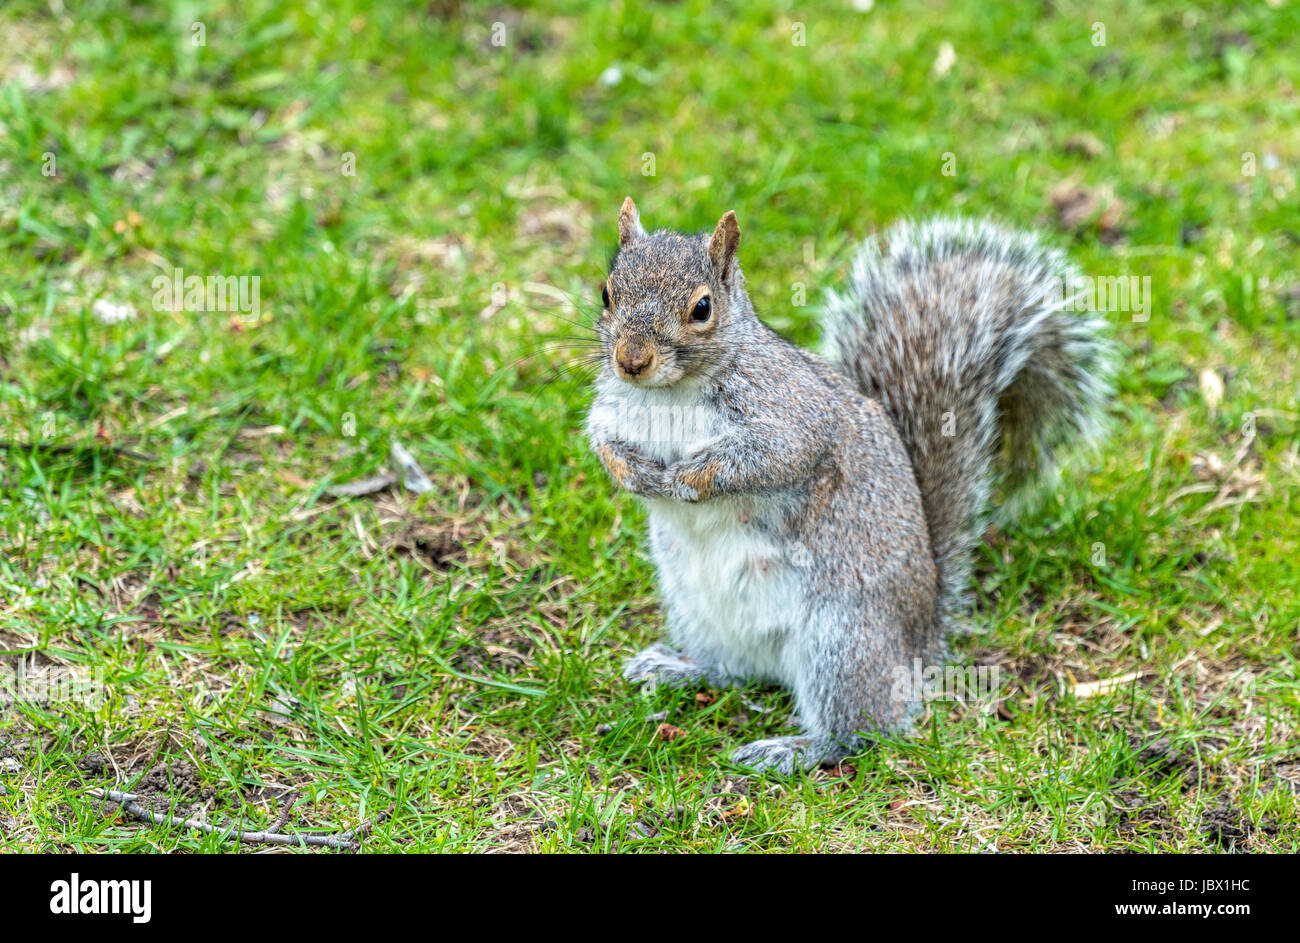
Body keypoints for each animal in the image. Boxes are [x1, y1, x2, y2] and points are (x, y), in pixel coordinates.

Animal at [586, 197, 1112, 774]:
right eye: (607, 292)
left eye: (702, 309)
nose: (631, 362)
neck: (671, 394)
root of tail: (919, 643)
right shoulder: (610, 408)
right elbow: (604, 442)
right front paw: (634, 472)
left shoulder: (791, 417)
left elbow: (771, 458)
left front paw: (686, 477)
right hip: (698, 613)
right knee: (733, 670)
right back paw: (680, 669)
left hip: (840, 640)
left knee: (860, 729)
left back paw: (794, 749)